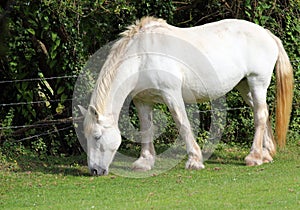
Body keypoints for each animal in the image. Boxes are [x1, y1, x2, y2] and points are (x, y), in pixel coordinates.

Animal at [79, 16, 292, 176]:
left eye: (97, 136)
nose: (94, 171)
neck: (142, 56)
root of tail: (266, 34)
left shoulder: (171, 94)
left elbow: (183, 124)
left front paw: (194, 161)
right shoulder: (143, 100)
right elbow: (146, 128)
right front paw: (144, 162)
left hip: (257, 82)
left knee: (260, 115)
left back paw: (254, 157)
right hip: (244, 86)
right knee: (263, 112)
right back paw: (266, 154)